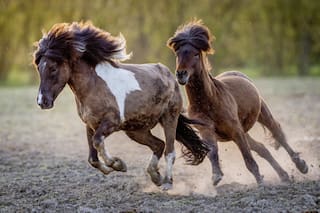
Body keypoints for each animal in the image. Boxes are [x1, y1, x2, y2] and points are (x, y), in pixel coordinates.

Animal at [33, 22, 208, 191]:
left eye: (53, 68)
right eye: (39, 68)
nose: (42, 101)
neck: (93, 85)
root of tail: (170, 76)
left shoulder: (112, 122)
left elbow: (97, 142)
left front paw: (118, 164)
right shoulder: (90, 125)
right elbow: (92, 158)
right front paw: (114, 167)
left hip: (169, 118)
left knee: (169, 151)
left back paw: (167, 183)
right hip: (136, 130)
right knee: (159, 145)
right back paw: (155, 177)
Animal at [168, 20, 308, 186]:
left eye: (195, 54)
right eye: (178, 54)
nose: (181, 74)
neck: (209, 102)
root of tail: (238, 73)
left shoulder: (235, 131)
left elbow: (248, 159)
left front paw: (260, 182)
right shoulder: (207, 131)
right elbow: (212, 152)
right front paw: (216, 176)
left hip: (262, 115)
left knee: (278, 134)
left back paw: (301, 166)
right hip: (244, 130)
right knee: (261, 148)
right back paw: (284, 175)